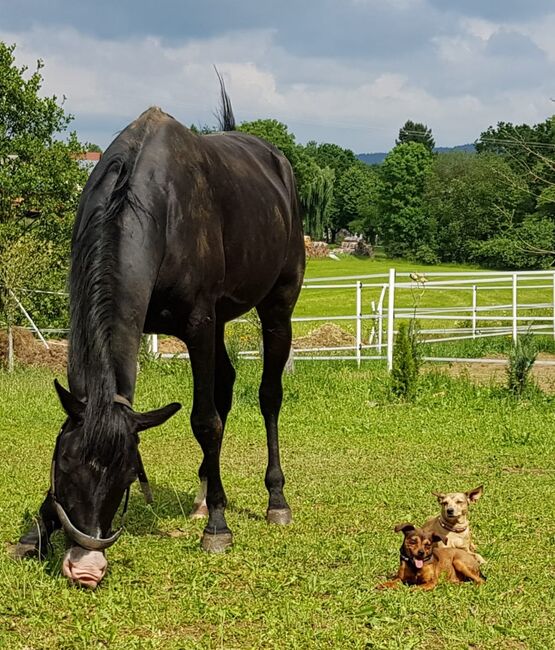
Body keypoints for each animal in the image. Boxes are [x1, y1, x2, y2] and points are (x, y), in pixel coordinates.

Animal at [14, 83, 304, 584]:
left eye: (128, 474)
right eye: (64, 462)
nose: (85, 567)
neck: (151, 206)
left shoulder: (198, 324)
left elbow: (204, 421)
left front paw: (218, 529)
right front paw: (36, 532)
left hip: (276, 308)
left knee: (268, 397)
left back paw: (274, 500)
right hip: (223, 321)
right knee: (226, 387)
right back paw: (205, 495)